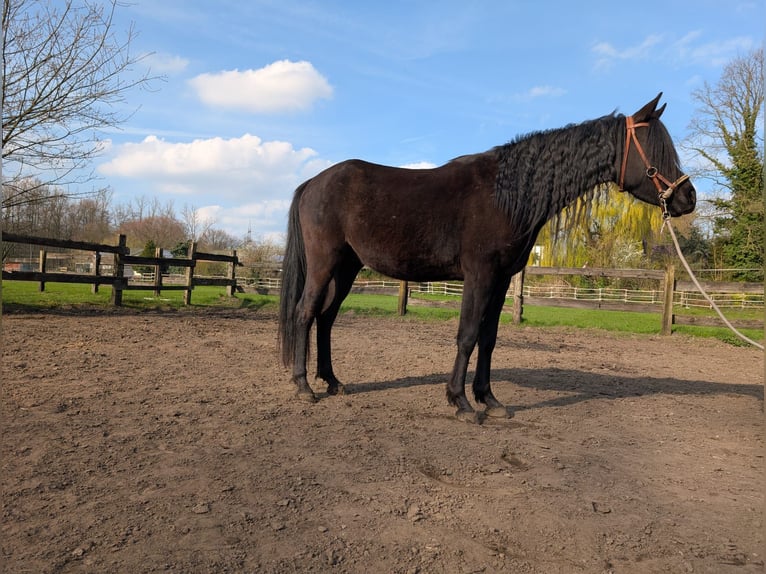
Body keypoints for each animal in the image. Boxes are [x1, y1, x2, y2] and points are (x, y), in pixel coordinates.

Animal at [278, 93, 696, 422]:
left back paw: (332, 382)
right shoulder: (479, 275)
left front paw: (489, 399)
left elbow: (489, 338)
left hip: (347, 268)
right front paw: (460, 402)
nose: (688, 197)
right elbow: (466, 335)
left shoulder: (501, 279)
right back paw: (303, 386)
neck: (507, 193)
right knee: (305, 312)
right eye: (655, 151)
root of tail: (312, 182)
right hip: (324, 264)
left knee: (326, 318)